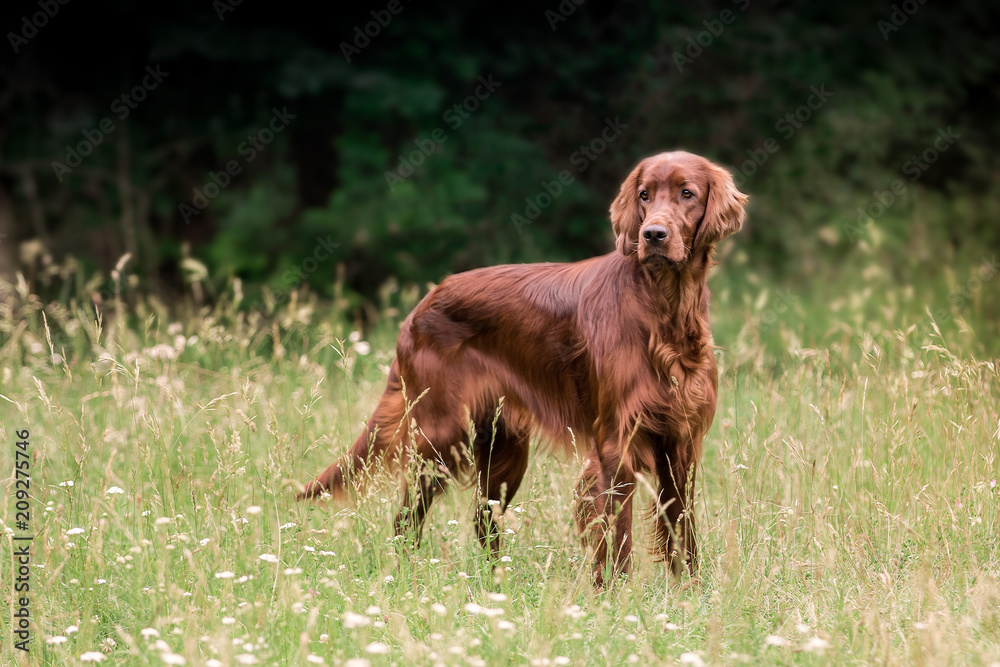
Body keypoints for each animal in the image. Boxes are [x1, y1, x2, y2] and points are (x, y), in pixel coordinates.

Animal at [300, 151, 748, 584]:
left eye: (687, 193)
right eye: (644, 195)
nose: (652, 235)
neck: (664, 309)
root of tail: (420, 307)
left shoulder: (681, 442)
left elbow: (682, 530)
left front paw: (688, 592)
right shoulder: (615, 442)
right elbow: (616, 533)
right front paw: (615, 595)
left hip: (502, 448)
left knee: (483, 519)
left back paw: (495, 581)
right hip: (441, 436)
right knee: (408, 516)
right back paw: (406, 575)